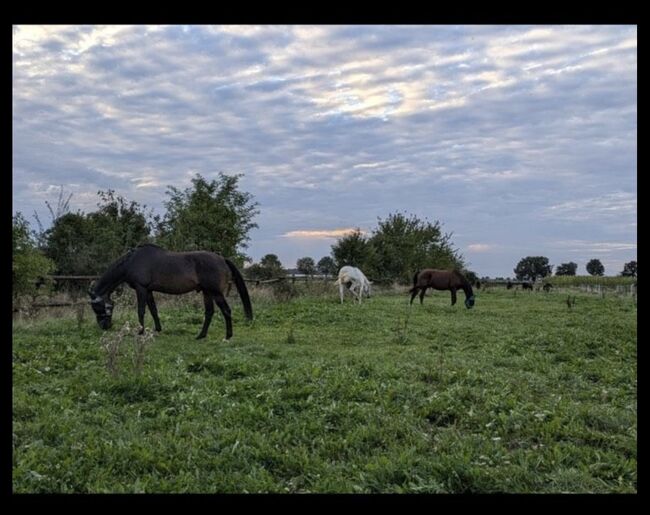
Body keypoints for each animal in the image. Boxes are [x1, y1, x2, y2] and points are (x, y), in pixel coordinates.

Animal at [88, 244, 253, 341]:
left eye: (97, 306)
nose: (104, 326)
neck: (132, 261)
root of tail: (223, 259)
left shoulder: (141, 288)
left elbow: (141, 311)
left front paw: (140, 332)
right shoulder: (149, 291)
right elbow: (153, 310)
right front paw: (158, 329)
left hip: (216, 293)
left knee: (226, 310)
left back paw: (228, 336)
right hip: (207, 292)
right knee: (209, 312)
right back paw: (201, 335)